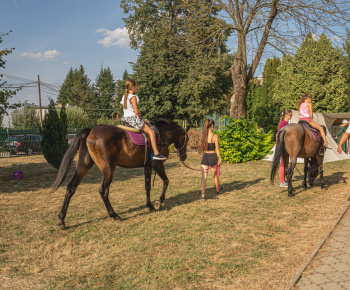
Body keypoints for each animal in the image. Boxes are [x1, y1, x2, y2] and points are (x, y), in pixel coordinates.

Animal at [50, 120, 189, 229]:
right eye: (187, 139)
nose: (184, 156)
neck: (162, 134)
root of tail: (91, 130)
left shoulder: (147, 167)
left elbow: (147, 187)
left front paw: (150, 206)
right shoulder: (157, 165)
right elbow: (166, 181)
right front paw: (159, 202)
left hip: (83, 166)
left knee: (71, 188)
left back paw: (62, 220)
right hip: (108, 170)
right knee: (103, 192)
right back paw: (114, 215)